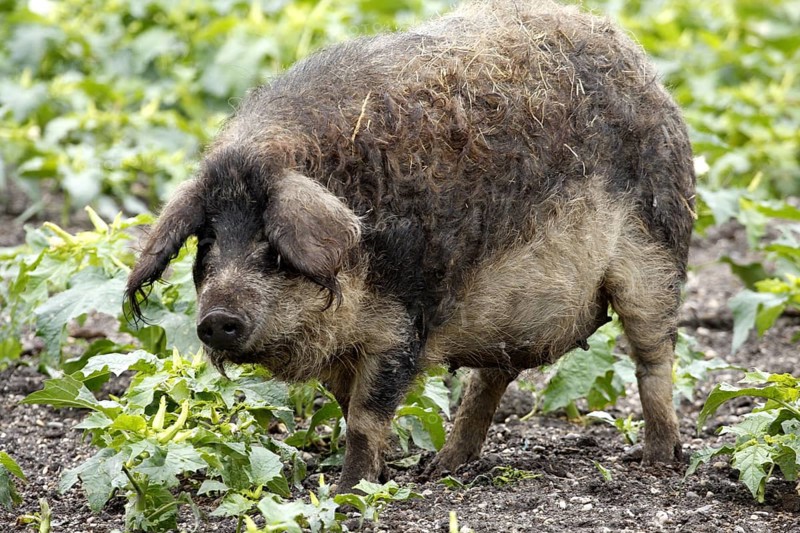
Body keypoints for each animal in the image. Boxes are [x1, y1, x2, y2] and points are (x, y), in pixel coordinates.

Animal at [126, 0, 695, 490]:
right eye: (207, 242)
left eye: (271, 246)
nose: (216, 318)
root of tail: (642, 64)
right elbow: (347, 406)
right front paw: (383, 474)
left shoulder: (400, 325)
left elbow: (365, 416)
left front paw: (350, 491)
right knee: (493, 376)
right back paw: (440, 468)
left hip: (658, 251)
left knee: (653, 356)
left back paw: (656, 462)